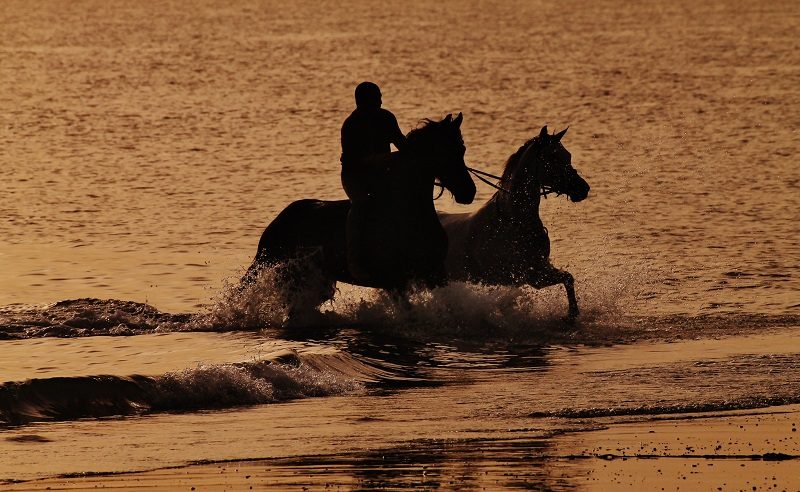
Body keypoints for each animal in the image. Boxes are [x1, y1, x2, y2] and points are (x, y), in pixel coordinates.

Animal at [241, 114, 478, 318]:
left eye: (462, 149)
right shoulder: (394, 281)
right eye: (445, 151)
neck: (408, 214)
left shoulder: (436, 273)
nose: (468, 191)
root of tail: (279, 221)